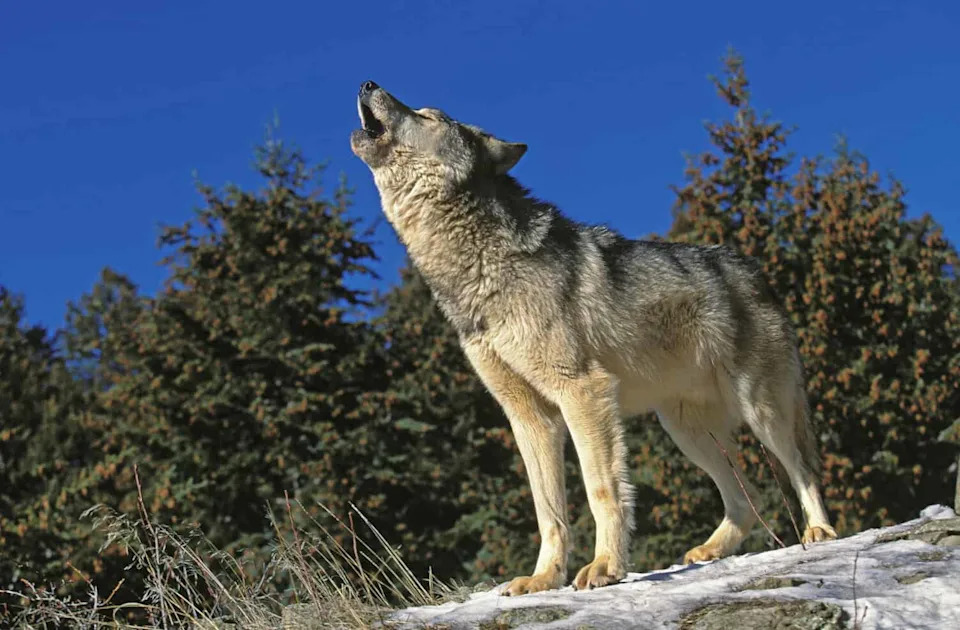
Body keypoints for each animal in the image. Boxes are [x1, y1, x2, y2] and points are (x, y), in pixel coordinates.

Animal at [350, 81, 837, 595]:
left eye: (430, 117)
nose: (367, 83)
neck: (476, 269)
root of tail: (755, 270)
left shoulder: (583, 392)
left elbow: (601, 489)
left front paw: (605, 567)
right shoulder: (529, 418)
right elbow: (548, 511)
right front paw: (544, 578)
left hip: (759, 410)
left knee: (803, 469)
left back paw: (819, 531)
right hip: (685, 430)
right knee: (747, 497)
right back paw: (711, 550)